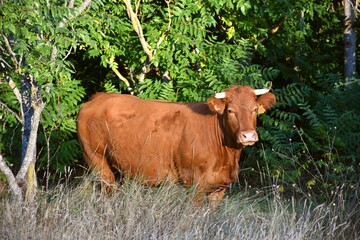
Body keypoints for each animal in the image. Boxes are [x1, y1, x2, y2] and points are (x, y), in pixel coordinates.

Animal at [77, 84, 276, 206]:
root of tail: (97, 98)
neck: (227, 155)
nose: (248, 135)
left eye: (254, 110)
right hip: (97, 161)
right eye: (230, 111)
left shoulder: (219, 188)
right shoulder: (195, 184)